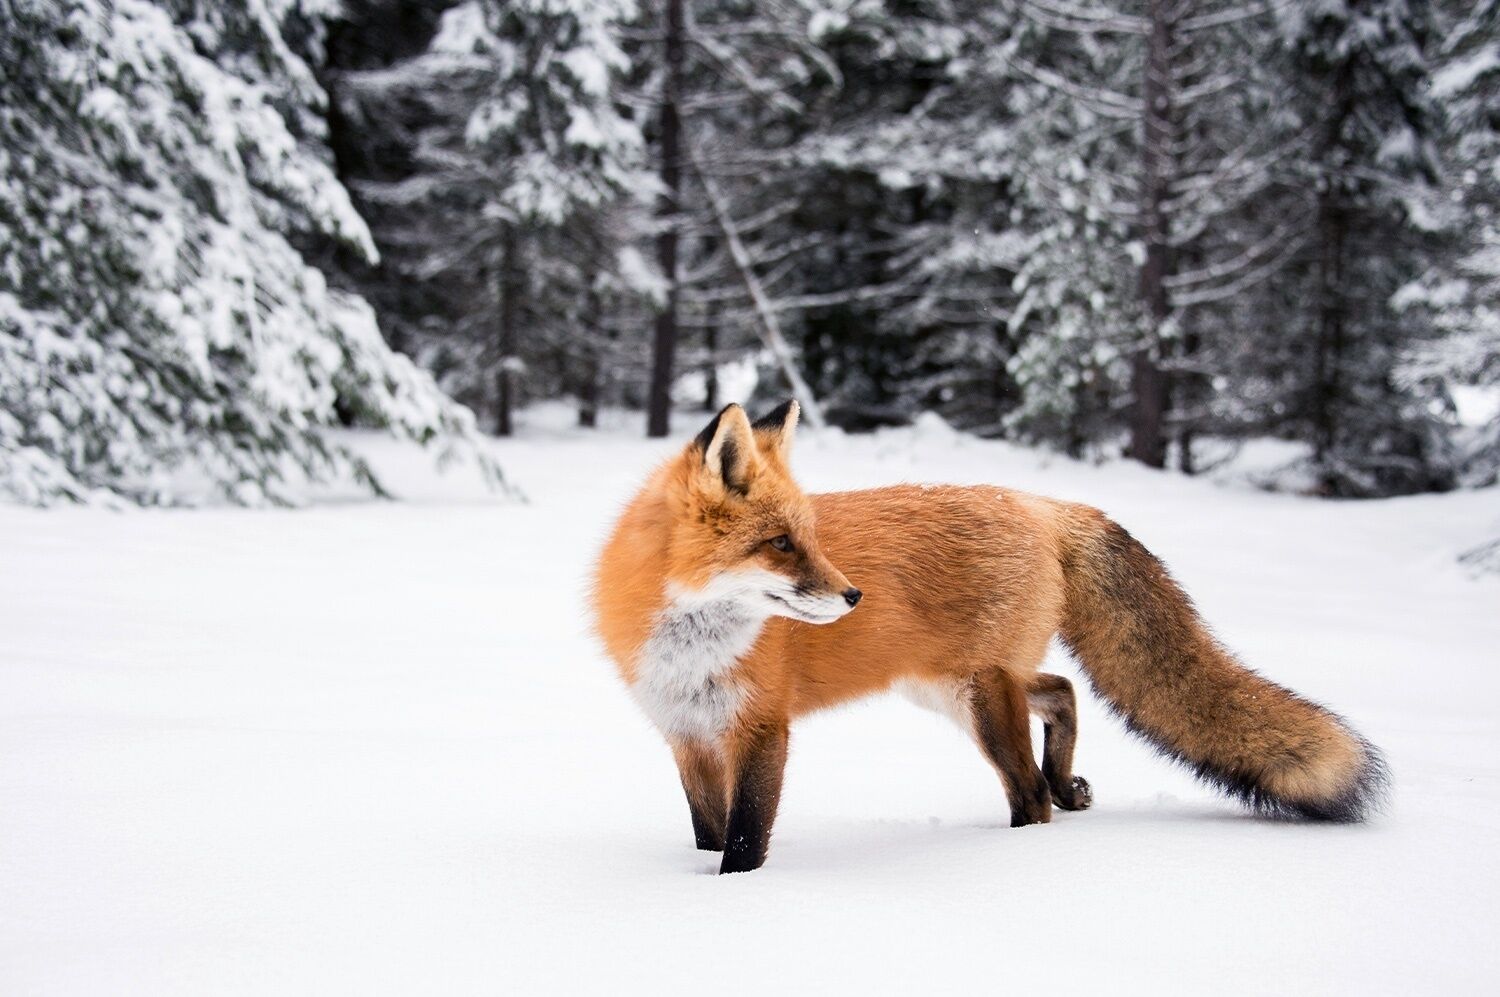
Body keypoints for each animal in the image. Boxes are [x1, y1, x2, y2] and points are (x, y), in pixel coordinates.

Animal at [592, 400, 1388, 874]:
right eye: (781, 544)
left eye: (808, 538)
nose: (853, 595)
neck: (692, 648)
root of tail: (1041, 503)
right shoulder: (687, 734)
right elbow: (707, 828)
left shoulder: (761, 729)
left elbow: (745, 837)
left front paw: (733, 897)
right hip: (951, 686)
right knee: (1062, 690)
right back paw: (1068, 784)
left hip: (978, 696)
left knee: (1030, 791)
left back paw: (1014, 848)